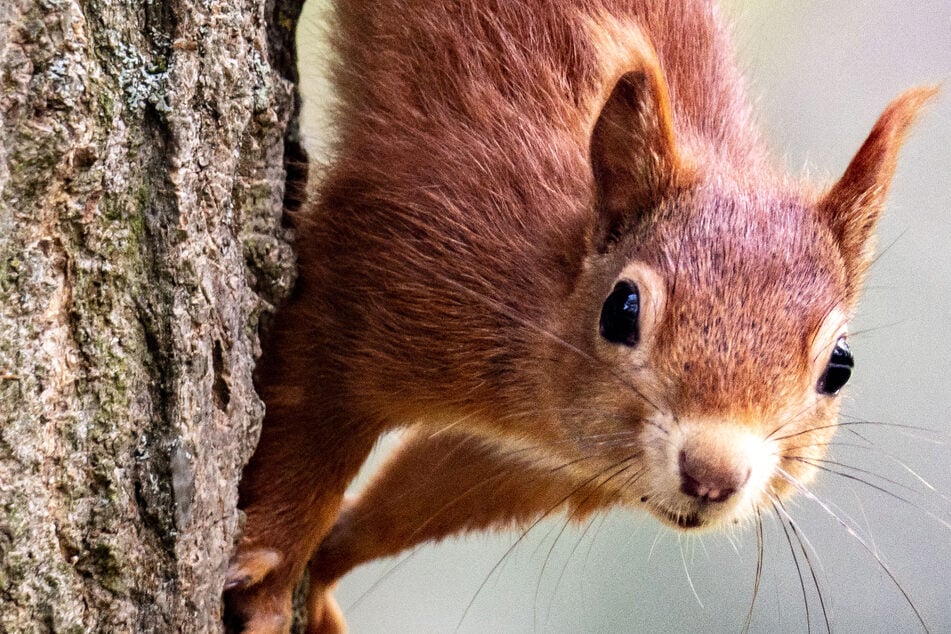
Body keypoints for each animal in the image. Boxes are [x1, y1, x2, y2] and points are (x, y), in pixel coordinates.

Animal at [221, 1, 936, 632]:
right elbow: (310, 417)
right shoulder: (386, 263)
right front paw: (272, 575)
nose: (712, 477)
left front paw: (327, 566)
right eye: (622, 309)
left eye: (840, 367)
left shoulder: (530, 465)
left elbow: (426, 494)